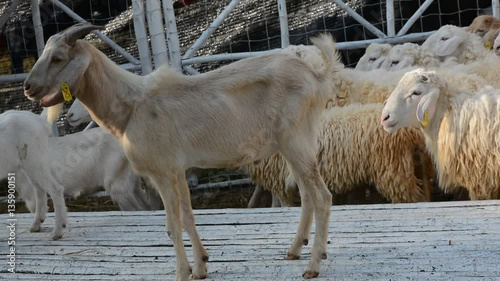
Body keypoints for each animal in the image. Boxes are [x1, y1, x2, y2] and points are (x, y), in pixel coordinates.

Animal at [21, 23, 338, 278]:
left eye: (58, 58)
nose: (27, 88)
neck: (131, 106)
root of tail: (317, 75)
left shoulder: (162, 171)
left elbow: (172, 225)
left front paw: (182, 273)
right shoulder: (178, 170)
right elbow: (187, 216)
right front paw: (201, 266)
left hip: (296, 140)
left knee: (322, 197)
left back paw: (312, 266)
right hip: (292, 145)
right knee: (307, 195)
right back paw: (295, 250)